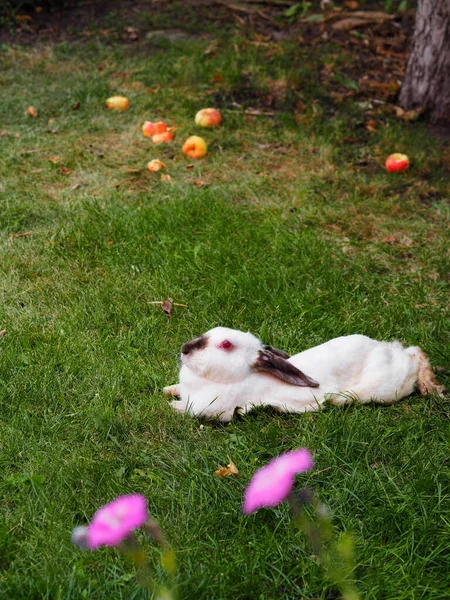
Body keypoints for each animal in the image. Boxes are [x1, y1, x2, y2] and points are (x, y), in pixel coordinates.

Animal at [163, 328, 444, 422]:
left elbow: (186, 410)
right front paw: (169, 390)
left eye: (225, 345)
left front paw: (172, 406)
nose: (184, 349)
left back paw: (432, 387)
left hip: (387, 387)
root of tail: (387, 349)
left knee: (417, 356)